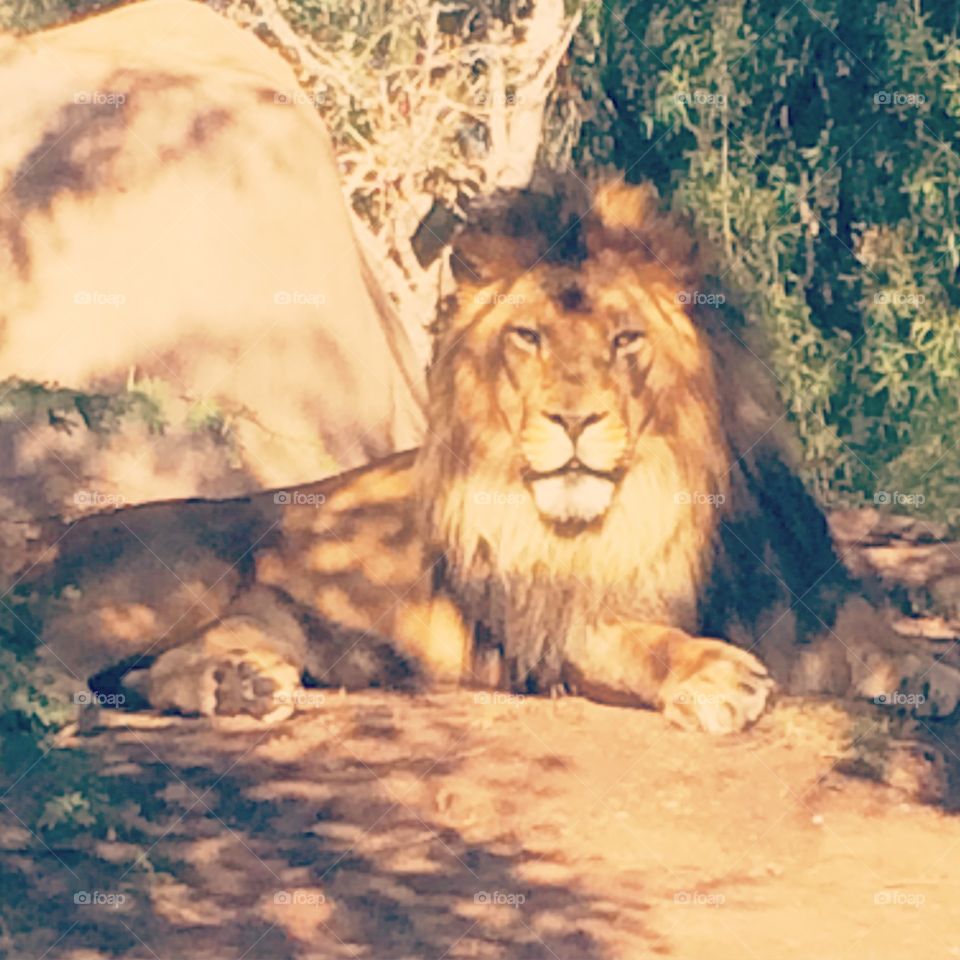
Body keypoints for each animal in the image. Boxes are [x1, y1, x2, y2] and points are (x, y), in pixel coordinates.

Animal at [21, 177, 960, 734]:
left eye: (624, 339)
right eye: (529, 337)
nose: (572, 418)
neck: (664, 497)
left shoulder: (803, 598)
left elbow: (891, 643)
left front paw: (932, 671)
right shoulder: (554, 631)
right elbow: (634, 641)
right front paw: (712, 673)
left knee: (161, 670)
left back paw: (237, 687)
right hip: (183, 575)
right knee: (42, 653)